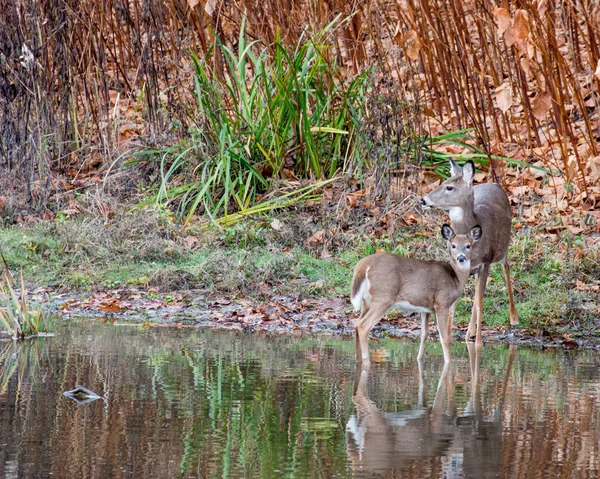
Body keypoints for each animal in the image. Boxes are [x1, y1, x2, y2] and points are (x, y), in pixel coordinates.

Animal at [350, 223, 480, 366]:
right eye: (453, 245)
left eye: (468, 245)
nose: (461, 258)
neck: (455, 278)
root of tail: (363, 265)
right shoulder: (442, 303)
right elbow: (445, 337)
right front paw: (448, 363)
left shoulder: (425, 309)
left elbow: (424, 334)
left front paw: (419, 359)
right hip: (383, 297)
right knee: (363, 326)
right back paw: (366, 362)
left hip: (367, 301)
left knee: (356, 324)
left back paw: (358, 360)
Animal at [420, 159, 516, 346]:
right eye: (441, 182)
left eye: (449, 187)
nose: (423, 200)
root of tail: (493, 184)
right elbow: (456, 302)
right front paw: (448, 337)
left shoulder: (485, 262)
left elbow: (480, 302)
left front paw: (478, 342)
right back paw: (469, 332)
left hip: (503, 249)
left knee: (506, 268)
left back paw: (513, 318)